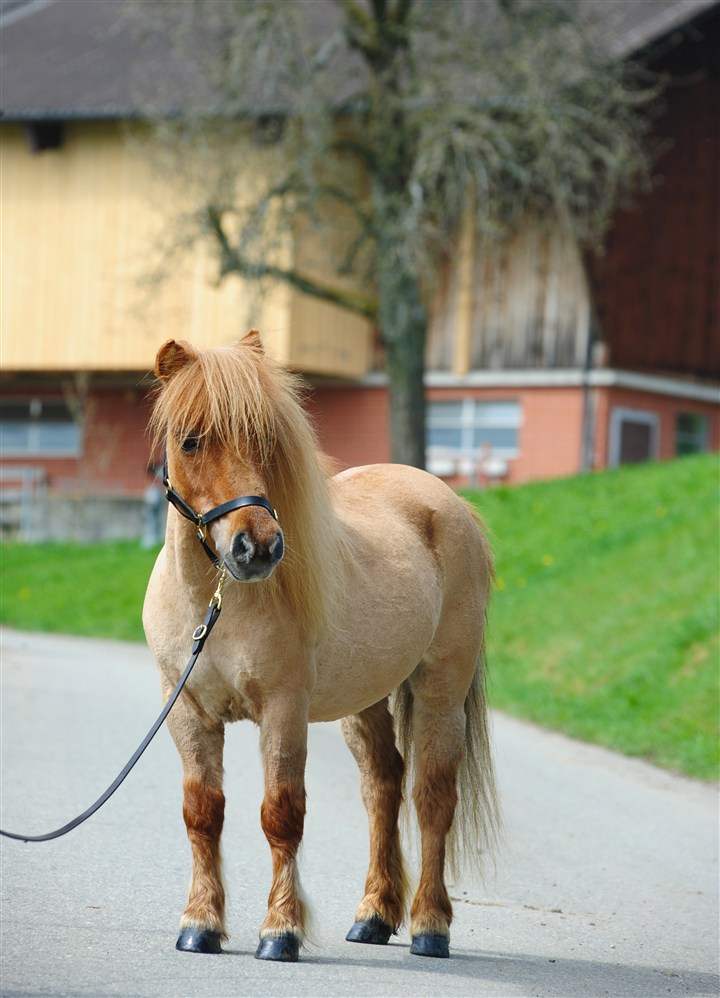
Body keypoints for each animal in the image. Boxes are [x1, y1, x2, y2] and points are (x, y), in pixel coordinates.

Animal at [143, 332, 498, 964]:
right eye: (190, 440)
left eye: (266, 439)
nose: (256, 548)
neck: (216, 602)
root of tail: (446, 500)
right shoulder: (186, 711)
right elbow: (203, 812)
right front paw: (200, 924)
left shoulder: (284, 710)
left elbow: (281, 814)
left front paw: (280, 930)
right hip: (365, 702)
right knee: (383, 787)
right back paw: (373, 917)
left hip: (441, 695)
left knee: (432, 795)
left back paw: (430, 926)